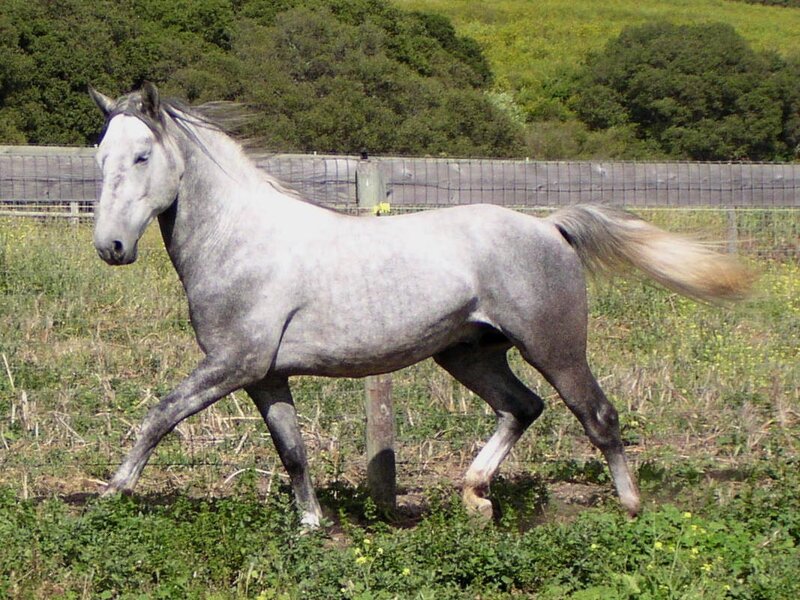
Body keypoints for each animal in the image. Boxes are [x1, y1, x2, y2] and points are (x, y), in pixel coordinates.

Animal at [88, 83, 753, 527]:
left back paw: (630, 507)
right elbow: (293, 451)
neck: (240, 241)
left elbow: (159, 416)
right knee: (522, 407)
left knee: (599, 415)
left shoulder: (232, 363)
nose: (111, 247)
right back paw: (475, 496)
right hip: (468, 354)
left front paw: (110, 494)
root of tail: (551, 227)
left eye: (142, 156)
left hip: (555, 346)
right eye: (100, 158)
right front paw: (313, 527)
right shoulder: (264, 374)